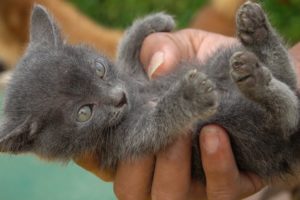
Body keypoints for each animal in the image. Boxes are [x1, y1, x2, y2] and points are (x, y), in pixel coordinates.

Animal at [0, 1, 300, 184]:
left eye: (99, 69)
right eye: (84, 113)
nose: (119, 98)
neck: (137, 94)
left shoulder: (133, 76)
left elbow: (125, 49)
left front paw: (152, 23)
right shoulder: (126, 141)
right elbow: (157, 122)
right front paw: (188, 95)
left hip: (223, 59)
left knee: (289, 85)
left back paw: (256, 31)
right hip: (252, 134)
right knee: (288, 114)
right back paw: (255, 78)